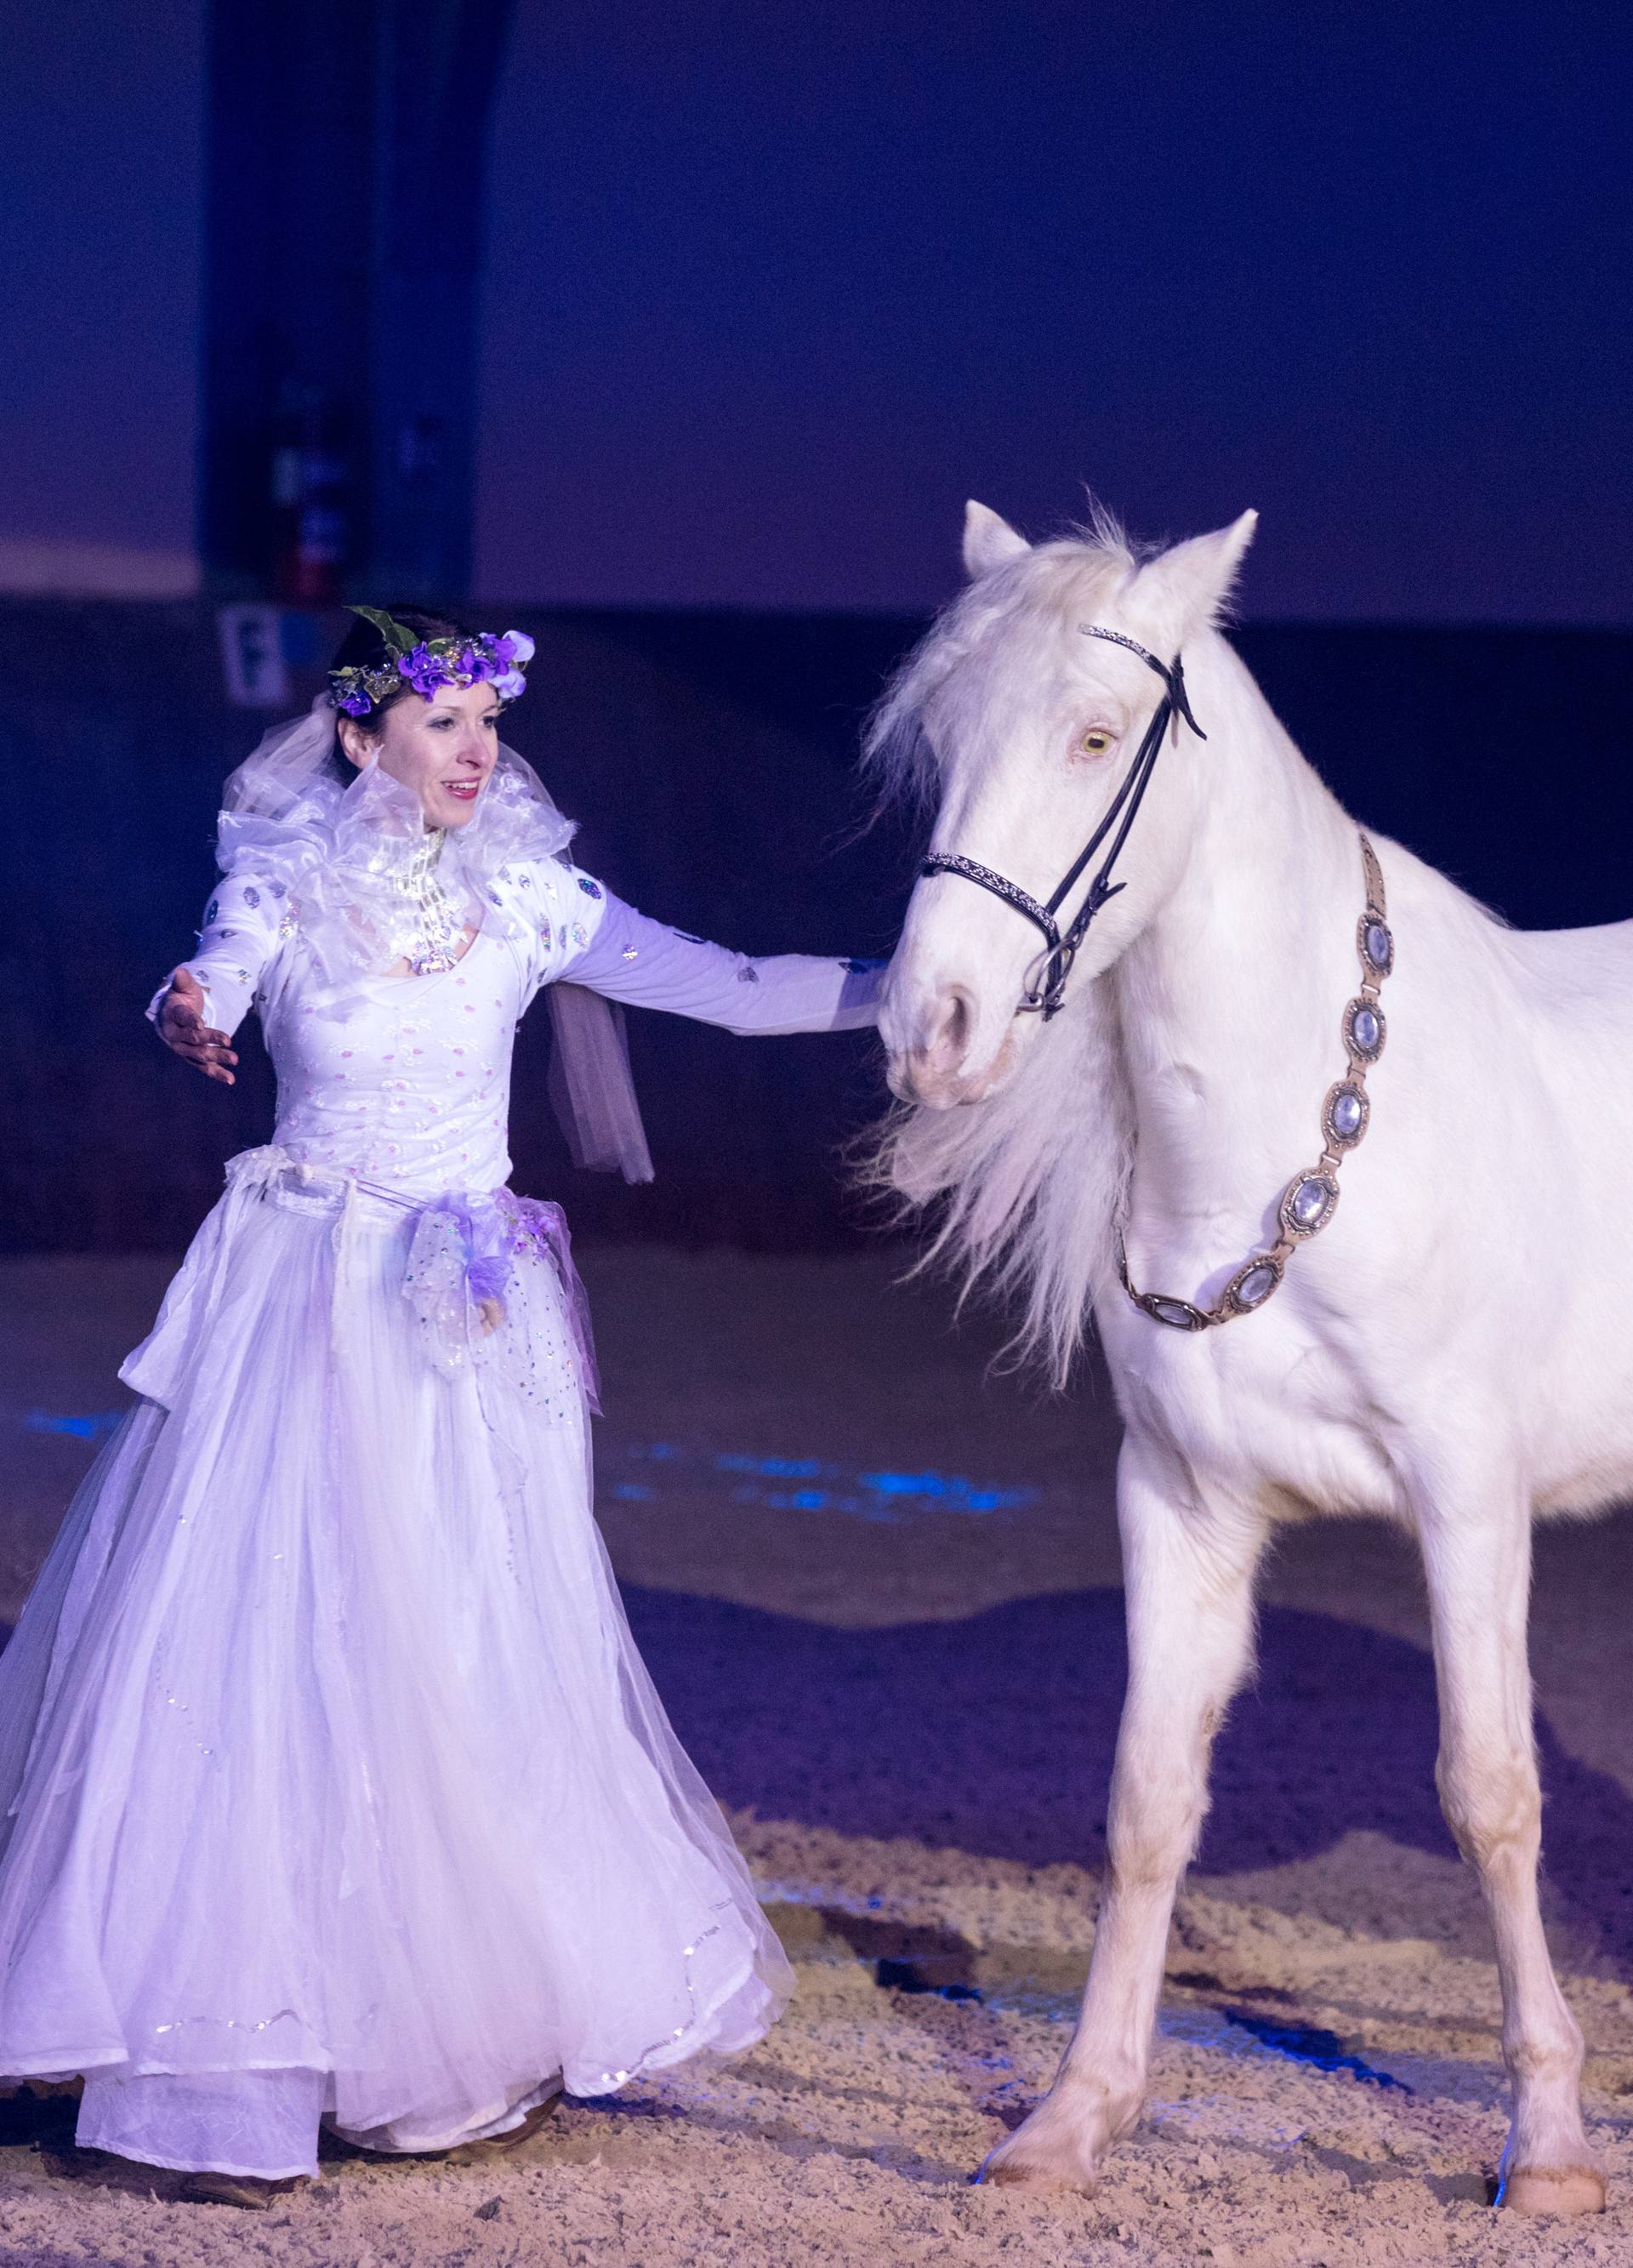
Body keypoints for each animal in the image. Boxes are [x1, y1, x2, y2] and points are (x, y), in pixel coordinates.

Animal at [875, 496, 1614, 2214]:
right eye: (940, 742)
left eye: (1093, 737)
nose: (931, 1031)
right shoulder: (1185, 1501)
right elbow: (1149, 1800)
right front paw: (1074, 2116)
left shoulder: (1469, 1499)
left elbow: (1492, 1794)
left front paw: (1548, 2145)